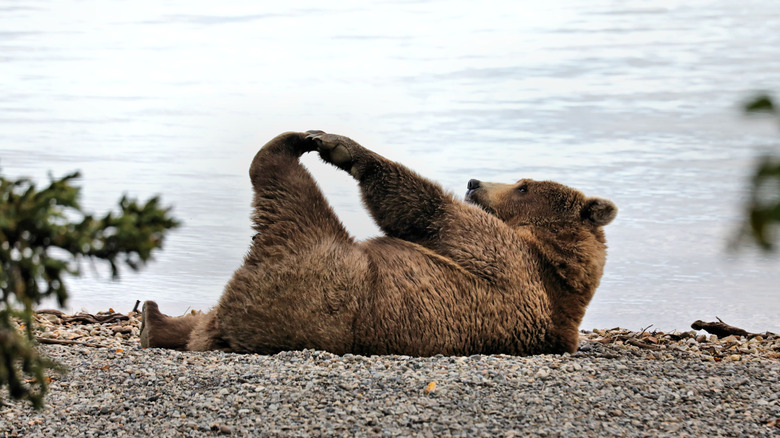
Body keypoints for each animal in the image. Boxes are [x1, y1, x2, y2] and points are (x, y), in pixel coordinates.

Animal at [140, 130, 617, 356]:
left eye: (522, 186)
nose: (474, 182)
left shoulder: (505, 260)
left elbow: (427, 212)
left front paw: (341, 148)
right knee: (199, 320)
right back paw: (154, 319)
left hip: (316, 275)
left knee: (289, 198)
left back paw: (288, 145)